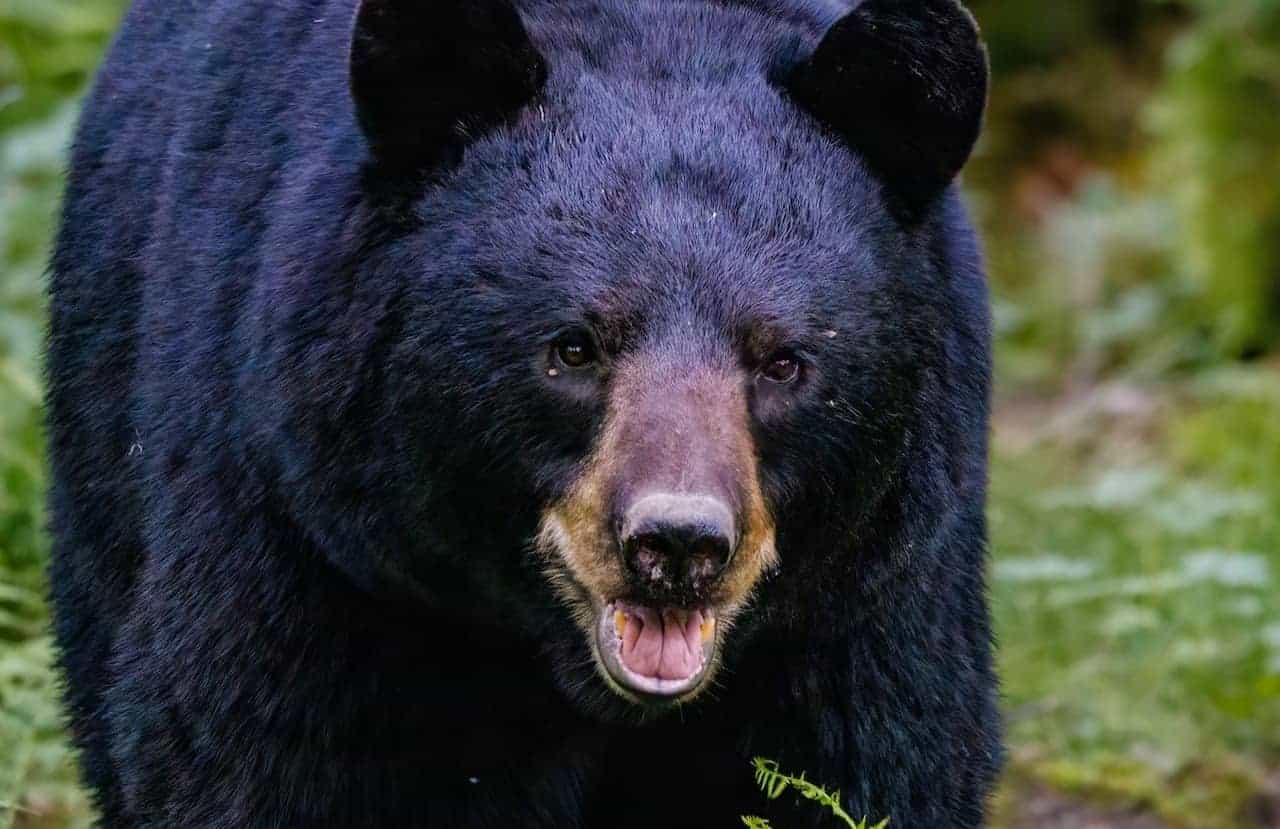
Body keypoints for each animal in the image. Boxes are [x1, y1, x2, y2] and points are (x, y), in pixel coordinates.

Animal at [46, 0, 1001, 825]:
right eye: (573, 347)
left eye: (784, 362)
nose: (678, 545)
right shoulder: (312, 532)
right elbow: (262, 749)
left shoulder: (869, 595)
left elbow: (866, 760)